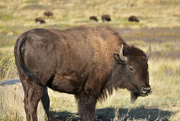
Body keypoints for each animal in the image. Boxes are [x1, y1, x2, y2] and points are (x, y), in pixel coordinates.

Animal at [14, 25, 152, 121]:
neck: (113, 57)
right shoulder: (90, 93)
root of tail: (25, 36)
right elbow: (88, 113)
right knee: (32, 104)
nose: (147, 89)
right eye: (131, 67)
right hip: (38, 83)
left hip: (25, 81)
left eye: (147, 66)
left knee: (27, 103)